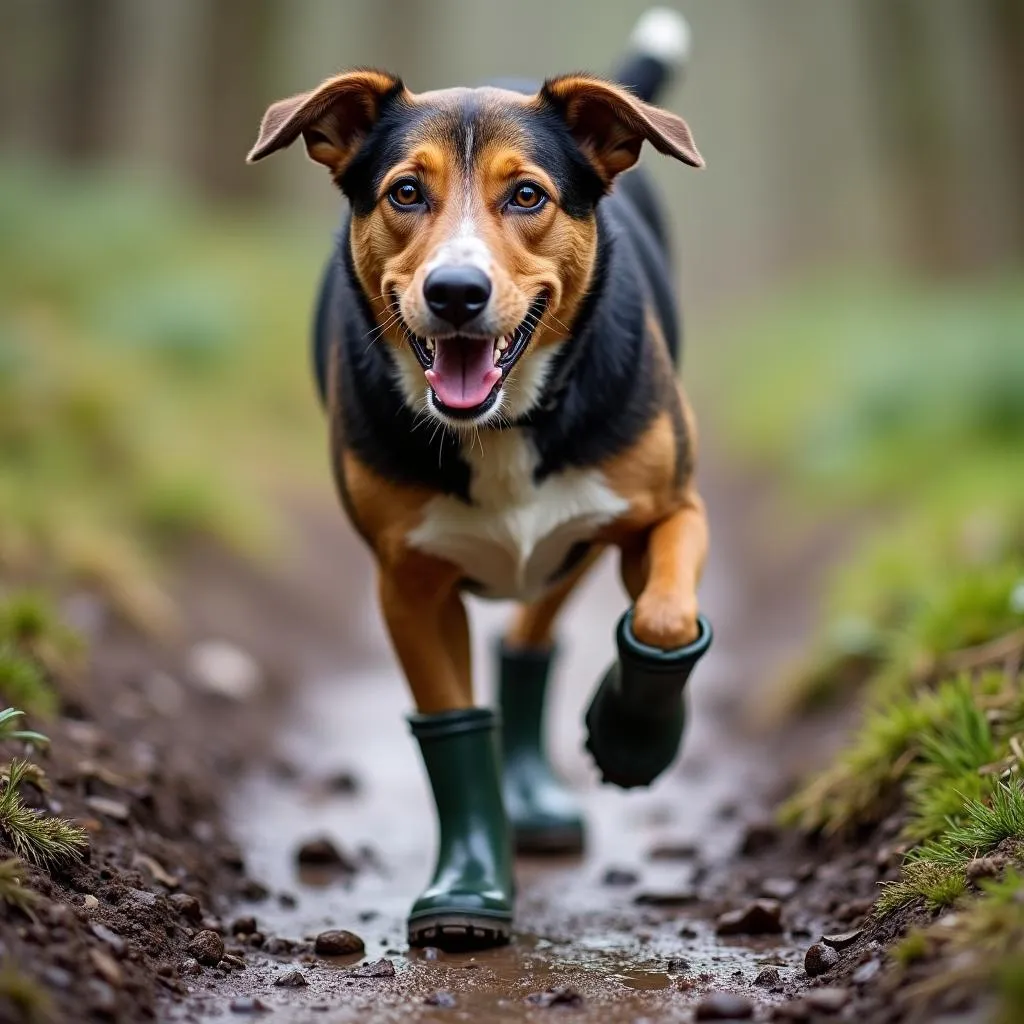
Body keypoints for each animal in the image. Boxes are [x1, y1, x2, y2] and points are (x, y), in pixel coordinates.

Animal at [247, 9, 712, 950]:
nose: (455, 291)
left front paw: (633, 737)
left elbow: (667, 619)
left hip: (572, 545)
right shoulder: (408, 580)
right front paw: (468, 888)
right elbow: (452, 724)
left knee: (535, 632)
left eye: (528, 196)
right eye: (404, 193)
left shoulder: (671, 510)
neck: (500, 423)